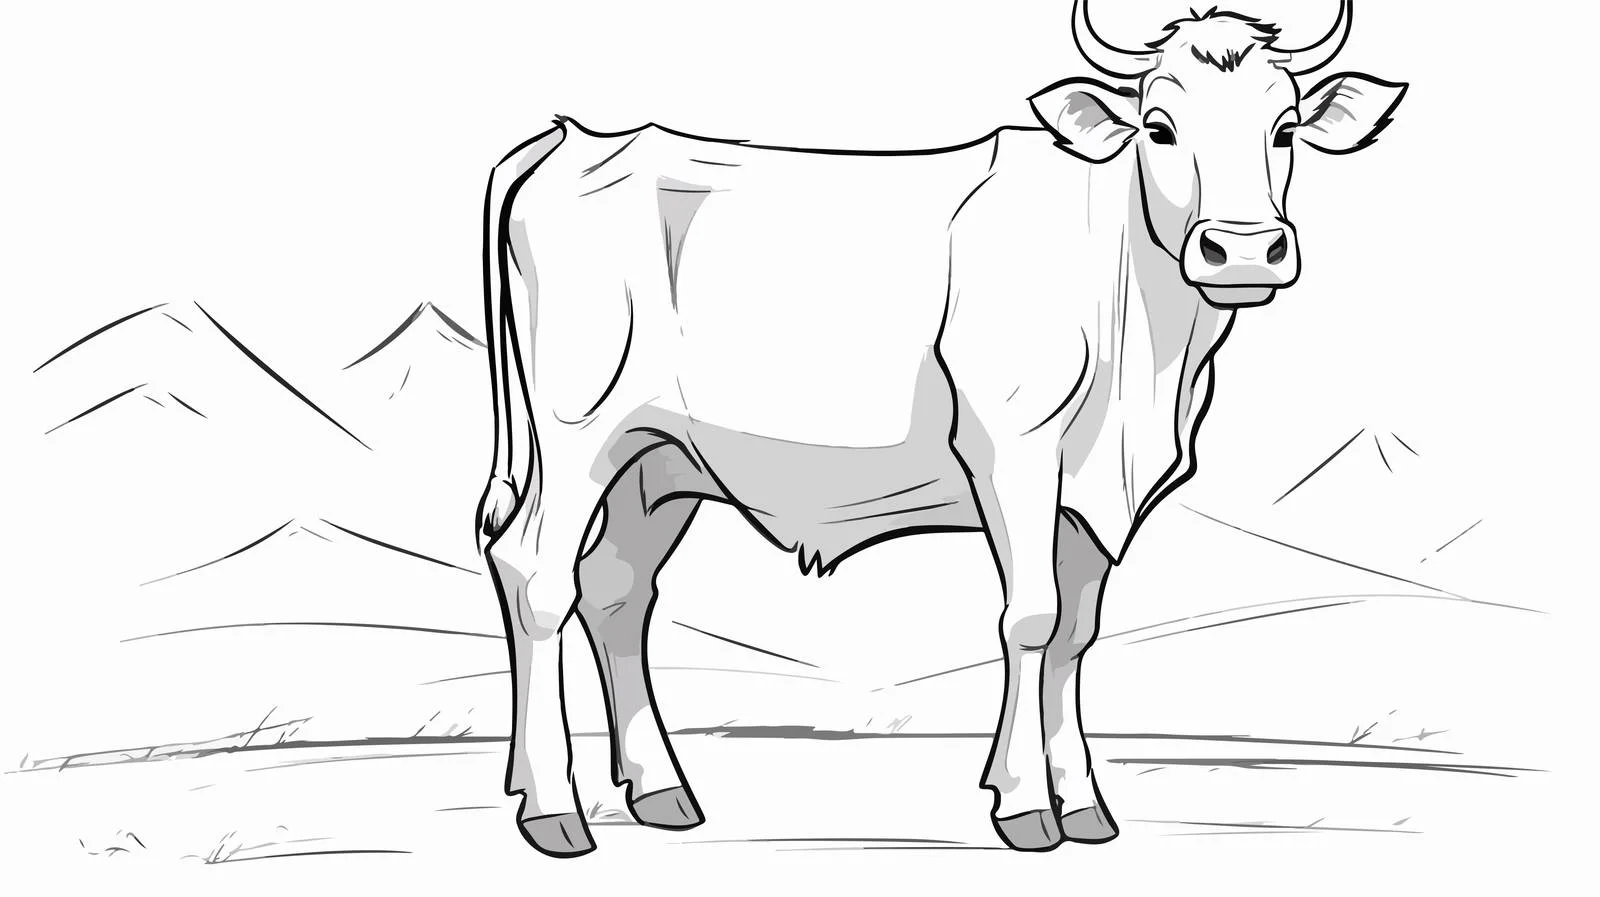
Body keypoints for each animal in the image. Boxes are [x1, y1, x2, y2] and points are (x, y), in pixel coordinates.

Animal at [475, 0, 1405, 857]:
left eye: (1285, 129)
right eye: (1159, 127)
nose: (1243, 250)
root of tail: (572, 142)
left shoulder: (1088, 494)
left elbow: (1076, 632)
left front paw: (1083, 803)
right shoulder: (1015, 452)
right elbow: (1030, 617)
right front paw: (1026, 807)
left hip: (657, 460)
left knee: (617, 589)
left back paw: (660, 791)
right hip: (576, 433)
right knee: (535, 575)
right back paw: (554, 809)